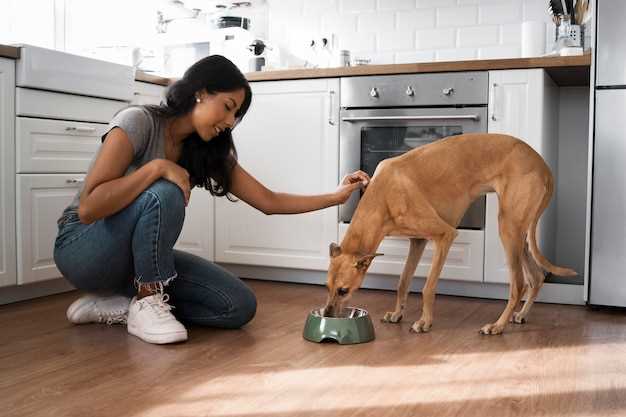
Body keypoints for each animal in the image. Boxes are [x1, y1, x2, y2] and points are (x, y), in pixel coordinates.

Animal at [322, 133, 576, 334]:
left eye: (344, 291)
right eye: (327, 287)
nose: (326, 315)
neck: (383, 194)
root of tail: (544, 166)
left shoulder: (445, 236)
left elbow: (428, 287)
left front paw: (424, 322)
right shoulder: (417, 241)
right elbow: (403, 281)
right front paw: (397, 314)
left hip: (509, 229)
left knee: (519, 284)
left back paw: (497, 326)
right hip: (519, 233)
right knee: (536, 277)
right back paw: (521, 315)